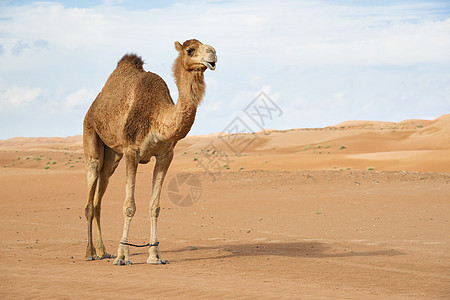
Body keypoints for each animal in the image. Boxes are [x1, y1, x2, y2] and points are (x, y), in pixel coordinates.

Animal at [84, 38, 218, 264]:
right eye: (190, 50)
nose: (213, 53)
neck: (157, 117)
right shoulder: (131, 152)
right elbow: (129, 206)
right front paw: (123, 255)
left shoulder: (165, 155)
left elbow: (154, 206)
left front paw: (155, 255)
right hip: (91, 133)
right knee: (90, 192)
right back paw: (89, 252)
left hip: (113, 155)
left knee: (99, 194)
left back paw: (102, 251)